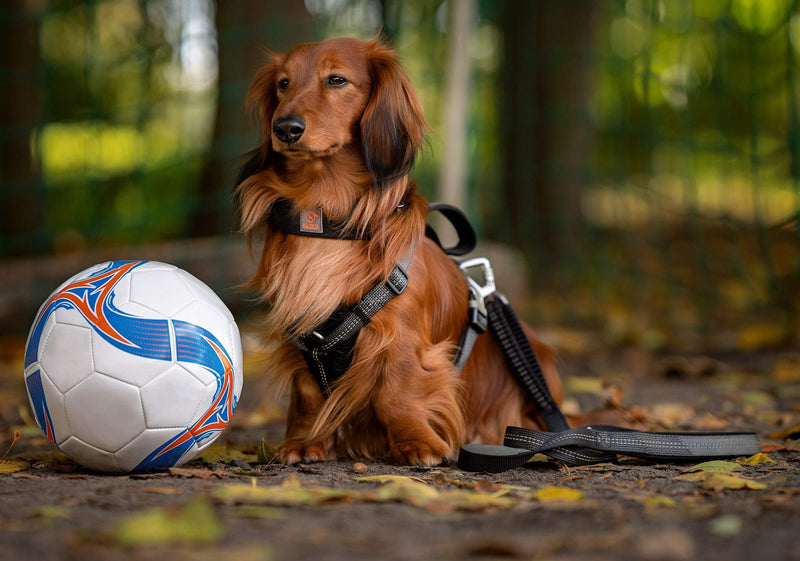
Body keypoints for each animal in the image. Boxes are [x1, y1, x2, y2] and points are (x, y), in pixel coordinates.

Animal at [238, 35, 564, 464]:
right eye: (283, 84)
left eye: (336, 79)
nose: (286, 128)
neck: (327, 220)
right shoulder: (305, 334)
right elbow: (308, 394)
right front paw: (304, 441)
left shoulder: (401, 337)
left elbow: (397, 391)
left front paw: (416, 442)